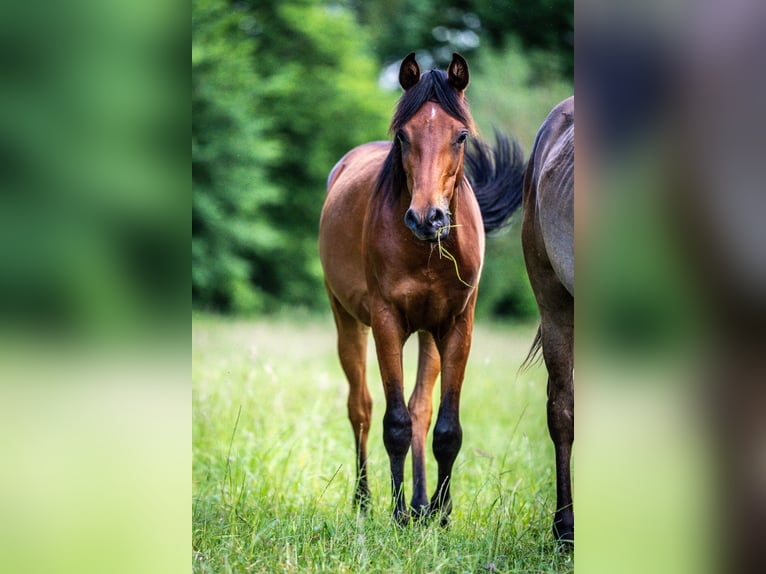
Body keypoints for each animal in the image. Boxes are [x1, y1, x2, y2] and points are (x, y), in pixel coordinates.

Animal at [320, 53, 528, 528]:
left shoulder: (456, 326)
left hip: (429, 335)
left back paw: (419, 504)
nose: (426, 217)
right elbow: (393, 422)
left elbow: (444, 427)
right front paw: (397, 514)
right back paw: (365, 502)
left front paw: (440, 512)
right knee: (361, 407)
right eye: (403, 135)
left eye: (461, 135)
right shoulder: (386, 323)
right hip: (348, 321)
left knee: (420, 408)